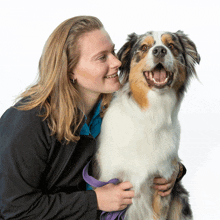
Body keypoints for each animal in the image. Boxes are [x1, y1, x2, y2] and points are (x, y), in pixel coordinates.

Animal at [93, 31, 200, 220]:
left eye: (171, 46)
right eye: (144, 47)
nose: (159, 50)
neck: (151, 115)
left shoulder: (162, 186)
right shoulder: (110, 184)